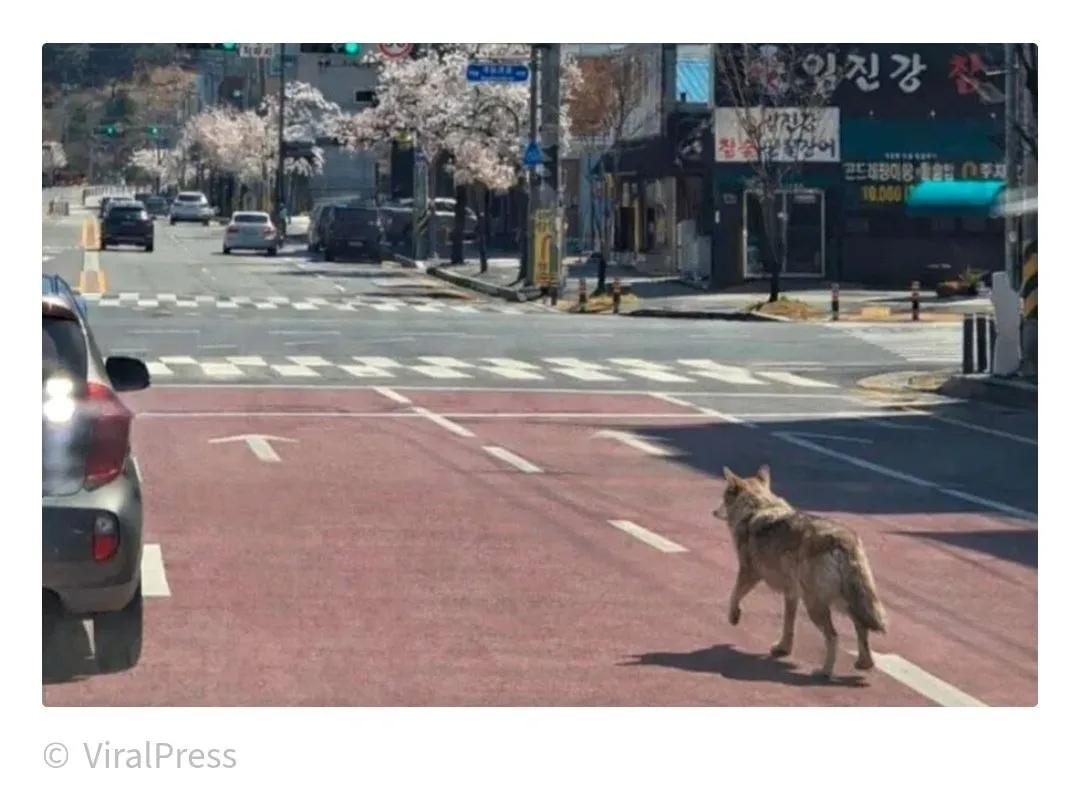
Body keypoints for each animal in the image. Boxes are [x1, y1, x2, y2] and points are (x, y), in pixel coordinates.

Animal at [713, 464, 887, 679]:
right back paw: (864, 663)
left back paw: (825, 672)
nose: (713, 511)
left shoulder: (749, 573)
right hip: (842, 601)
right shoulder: (791, 593)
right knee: (861, 627)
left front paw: (734, 617)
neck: (757, 508)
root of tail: (844, 541)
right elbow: (788, 625)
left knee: (833, 636)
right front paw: (783, 648)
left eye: (724, 497)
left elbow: (733, 596)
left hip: (816, 605)